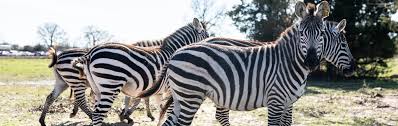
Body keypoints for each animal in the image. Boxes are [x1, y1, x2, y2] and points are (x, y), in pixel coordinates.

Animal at [71, 18, 210, 126]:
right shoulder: (172, 89)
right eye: (208, 36)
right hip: (111, 83)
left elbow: (162, 110)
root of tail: (90, 53)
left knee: (96, 113)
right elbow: (170, 111)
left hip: (97, 88)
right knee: (99, 114)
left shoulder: (160, 91)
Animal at [137, 1, 354, 125]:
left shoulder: (287, 103)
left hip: (182, 97)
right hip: (191, 96)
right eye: (302, 33)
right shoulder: (276, 101)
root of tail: (176, 53)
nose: (310, 62)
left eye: (321, 34)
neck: (289, 62)